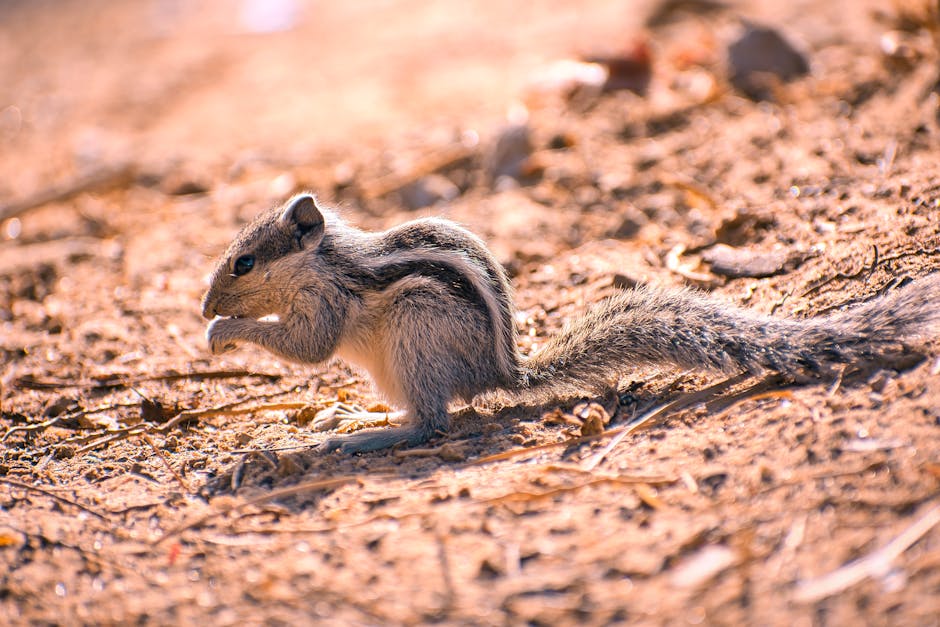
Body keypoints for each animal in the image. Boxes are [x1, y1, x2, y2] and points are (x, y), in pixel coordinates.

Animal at [202, 193, 940, 454]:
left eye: (243, 262)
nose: (207, 306)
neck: (321, 259)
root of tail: (502, 370)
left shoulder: (327, 304)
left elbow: (308, 348)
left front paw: (223, 333)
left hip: (416, 330)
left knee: (431, 423)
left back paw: (359, 437)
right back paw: (354, 416)